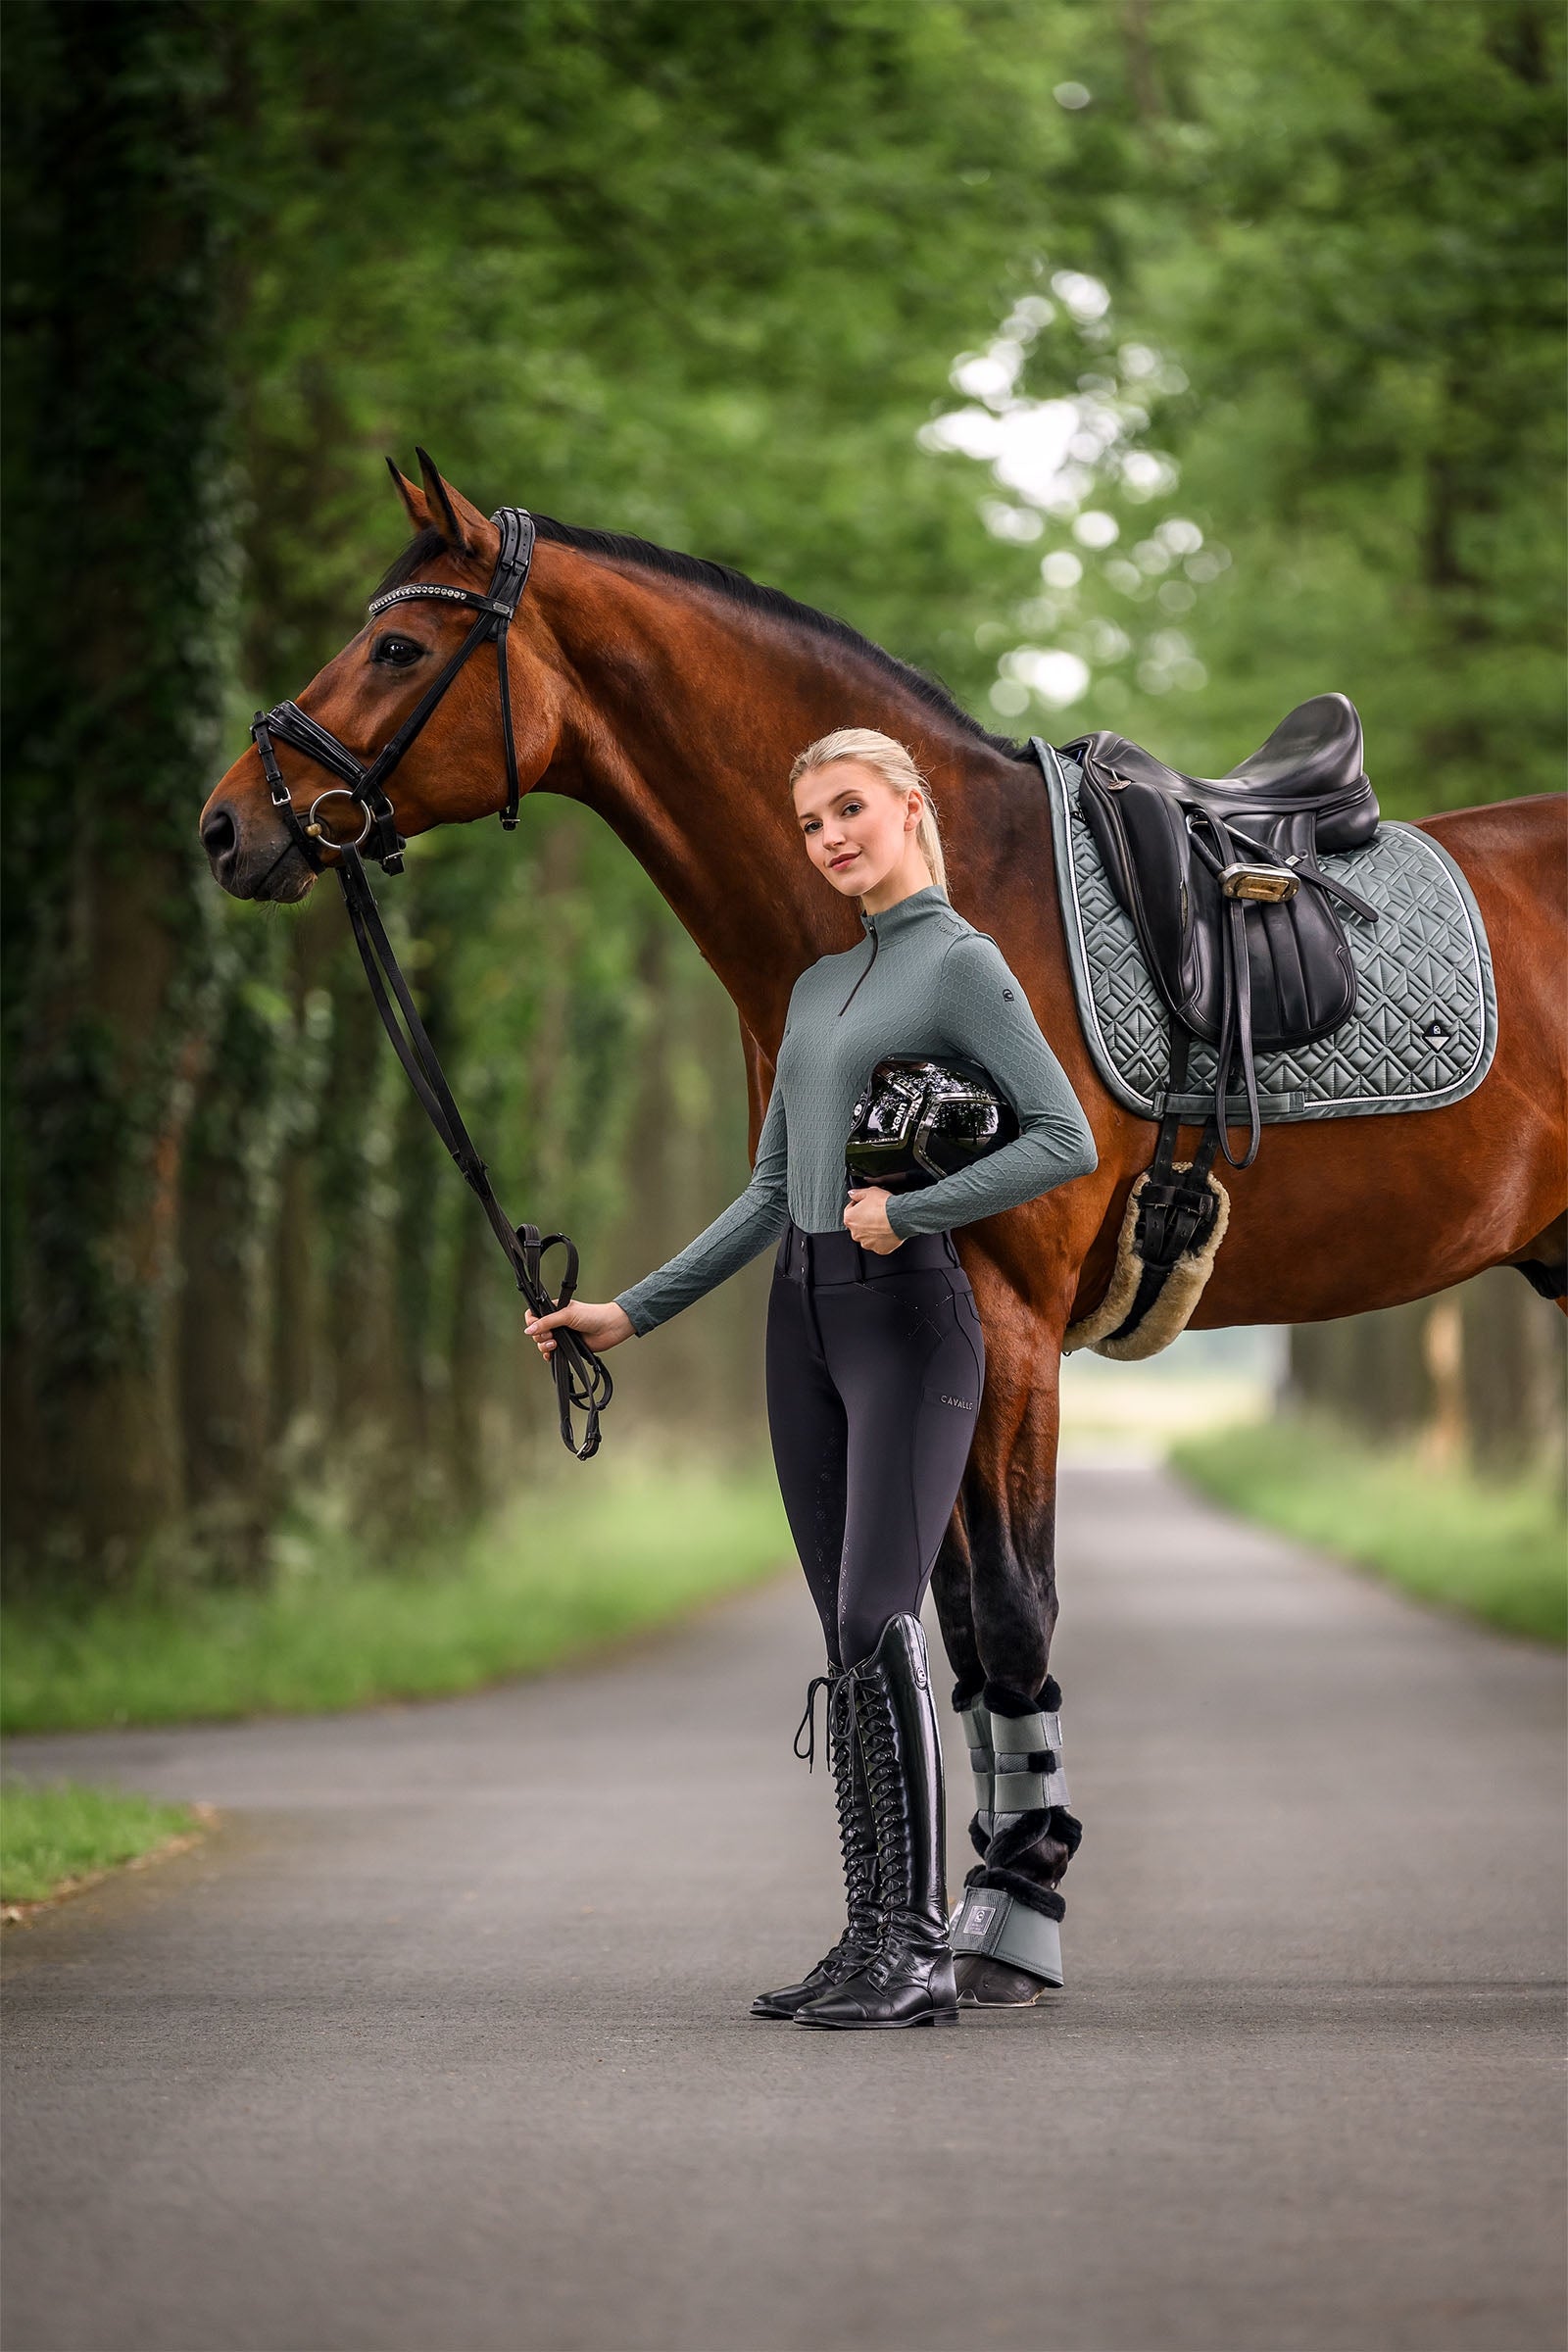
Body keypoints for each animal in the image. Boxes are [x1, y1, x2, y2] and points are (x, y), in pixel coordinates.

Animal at [200, 454, 1568, 1997]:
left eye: (395, 647)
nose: (230, 824)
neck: (952, 892)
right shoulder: (946, 1335)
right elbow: (956, 1621)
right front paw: (976, 1898)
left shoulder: (1011, 1328)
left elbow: (1014, 1611)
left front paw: (1015, 1914)